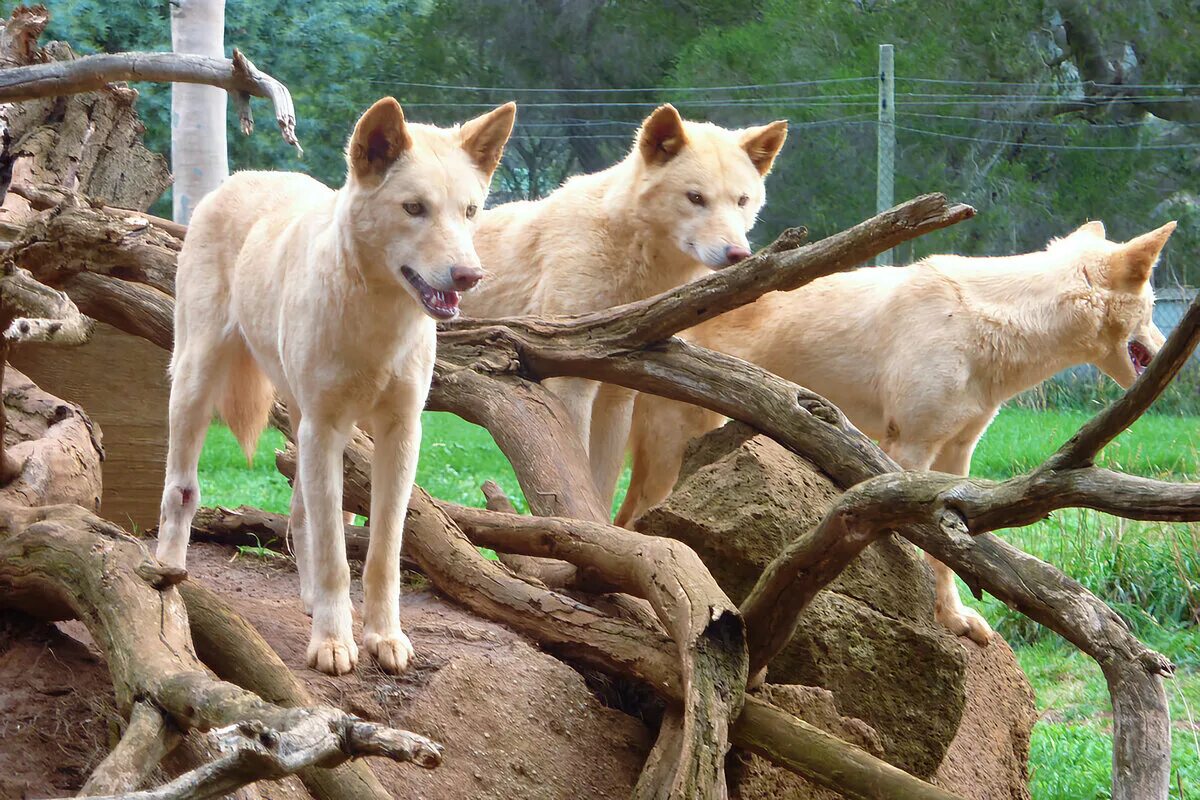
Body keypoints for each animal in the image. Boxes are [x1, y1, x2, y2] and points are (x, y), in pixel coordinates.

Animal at [152, 98, 513, 676]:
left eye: (470, 211)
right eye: (414, 208)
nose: (469, 275)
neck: (378, 322)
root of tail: (241, 177)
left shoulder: (399, 434)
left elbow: (381, 551)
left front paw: (384, 637)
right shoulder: (325, 429)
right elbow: (334, 556)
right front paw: (332, 643)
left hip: (307, 424)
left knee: (303, 514)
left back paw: (311, 602)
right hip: (195, 384)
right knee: (182, 492)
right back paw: (169, 573)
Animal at [463, 105, 792, 501]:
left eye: (742, 201)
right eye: (695, 198)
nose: (738, 254)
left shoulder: (617, 396)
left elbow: (601, 488)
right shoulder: (570, 388)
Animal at [624, 219, 1176, 642]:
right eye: (1153, 309)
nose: (1171, 349)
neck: (988, 327)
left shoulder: (956, 458)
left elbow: (950, 558)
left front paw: (955, 619)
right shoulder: (909, 450)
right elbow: (924, 553)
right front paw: (929, 621)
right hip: (670, 451)